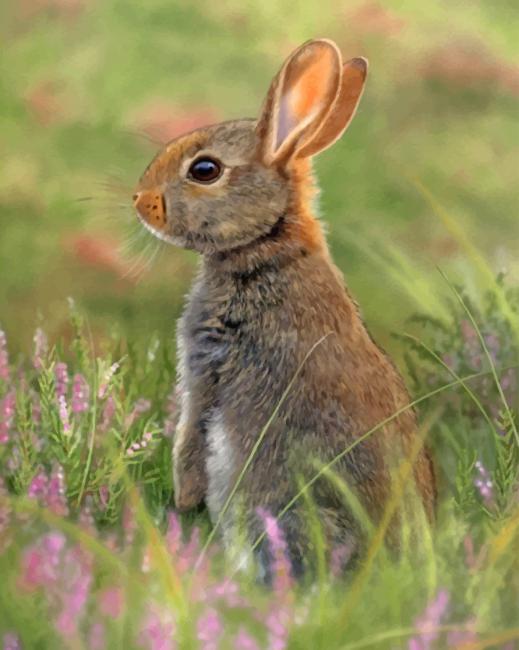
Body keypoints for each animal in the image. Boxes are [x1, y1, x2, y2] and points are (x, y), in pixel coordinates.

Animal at [133, 38, 436, 578]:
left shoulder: (210, 365)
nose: (140, 200)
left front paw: (184, 500)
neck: (268, 243)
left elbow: (191, 435)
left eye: (204, 170)